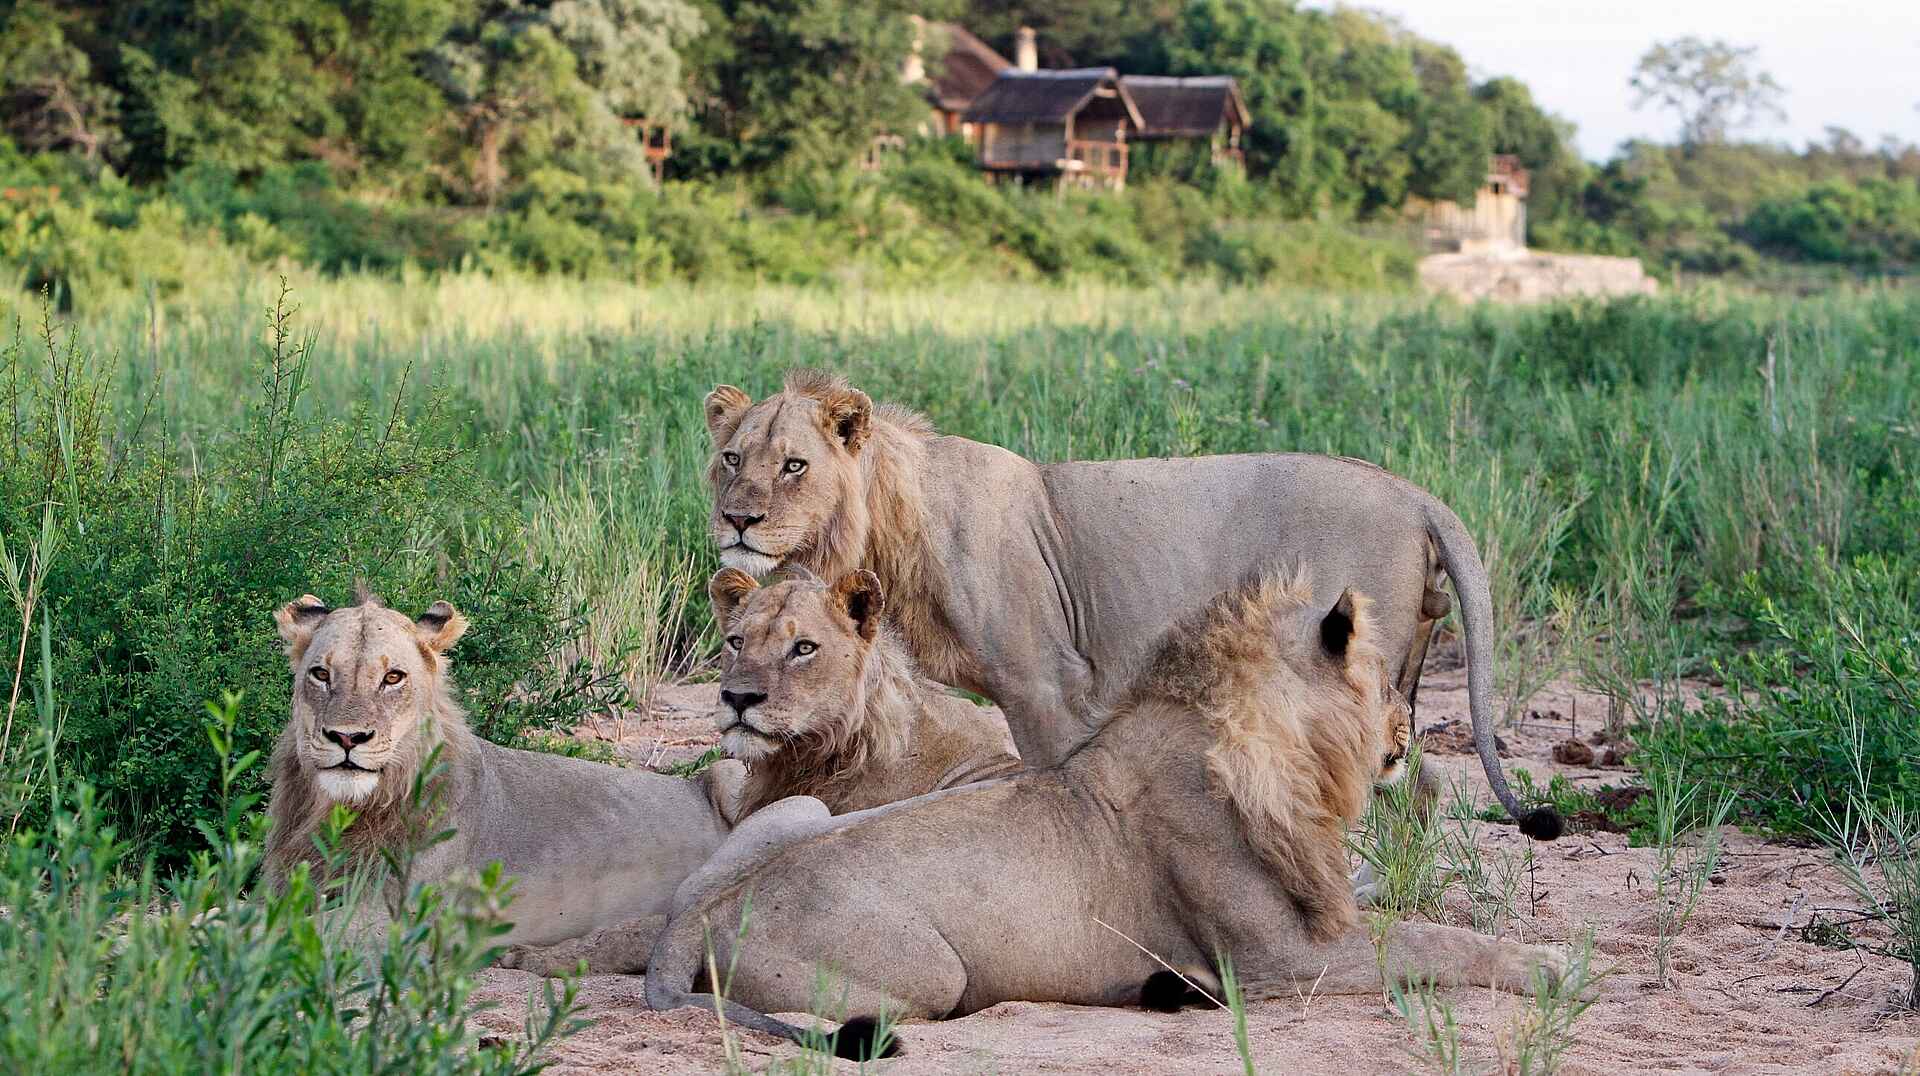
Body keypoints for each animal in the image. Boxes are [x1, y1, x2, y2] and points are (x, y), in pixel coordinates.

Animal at [265, 591, 743, 973]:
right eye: (321, 674)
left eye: (393, 678)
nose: (347, 738)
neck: (339, 812)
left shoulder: (400, 920)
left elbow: (279, 929)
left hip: (732, 773)